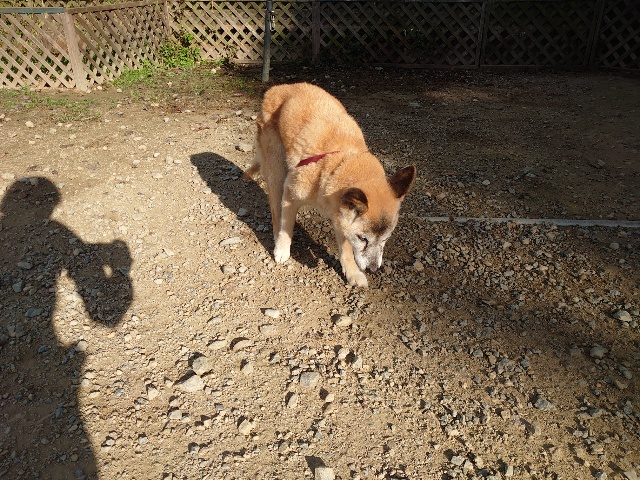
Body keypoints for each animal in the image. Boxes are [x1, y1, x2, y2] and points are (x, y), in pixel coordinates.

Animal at [245, 82, 416, 288]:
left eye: (386, 238)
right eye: (362, 238)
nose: (373, 269)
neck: (339, 161)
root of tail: (278, 87)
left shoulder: (342, 217)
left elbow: (346, 249)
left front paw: (352, 273)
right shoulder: (290, 195)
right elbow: (287, 226)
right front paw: (282, 249)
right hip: (276, 172)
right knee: (276, 211)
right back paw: (277, 238)